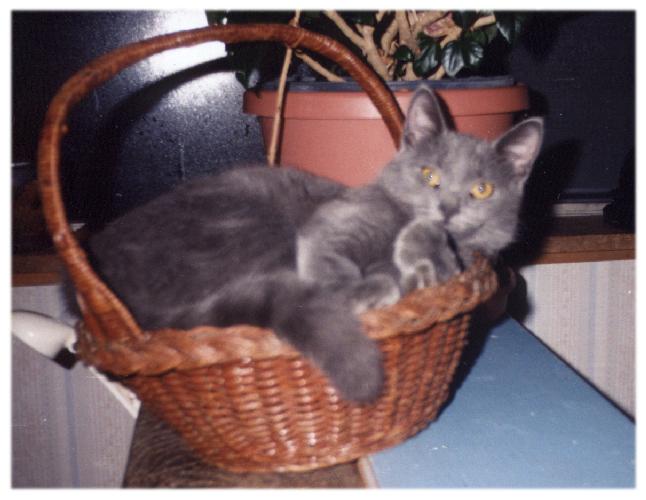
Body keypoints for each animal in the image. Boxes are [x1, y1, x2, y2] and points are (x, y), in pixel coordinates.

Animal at [88, 85, 544, 402]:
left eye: (482, 189)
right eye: (429, 174)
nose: (447, 207)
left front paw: (421, 267)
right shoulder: (333, 225)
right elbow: (332, 270)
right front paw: (380, 280)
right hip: (252, 226)